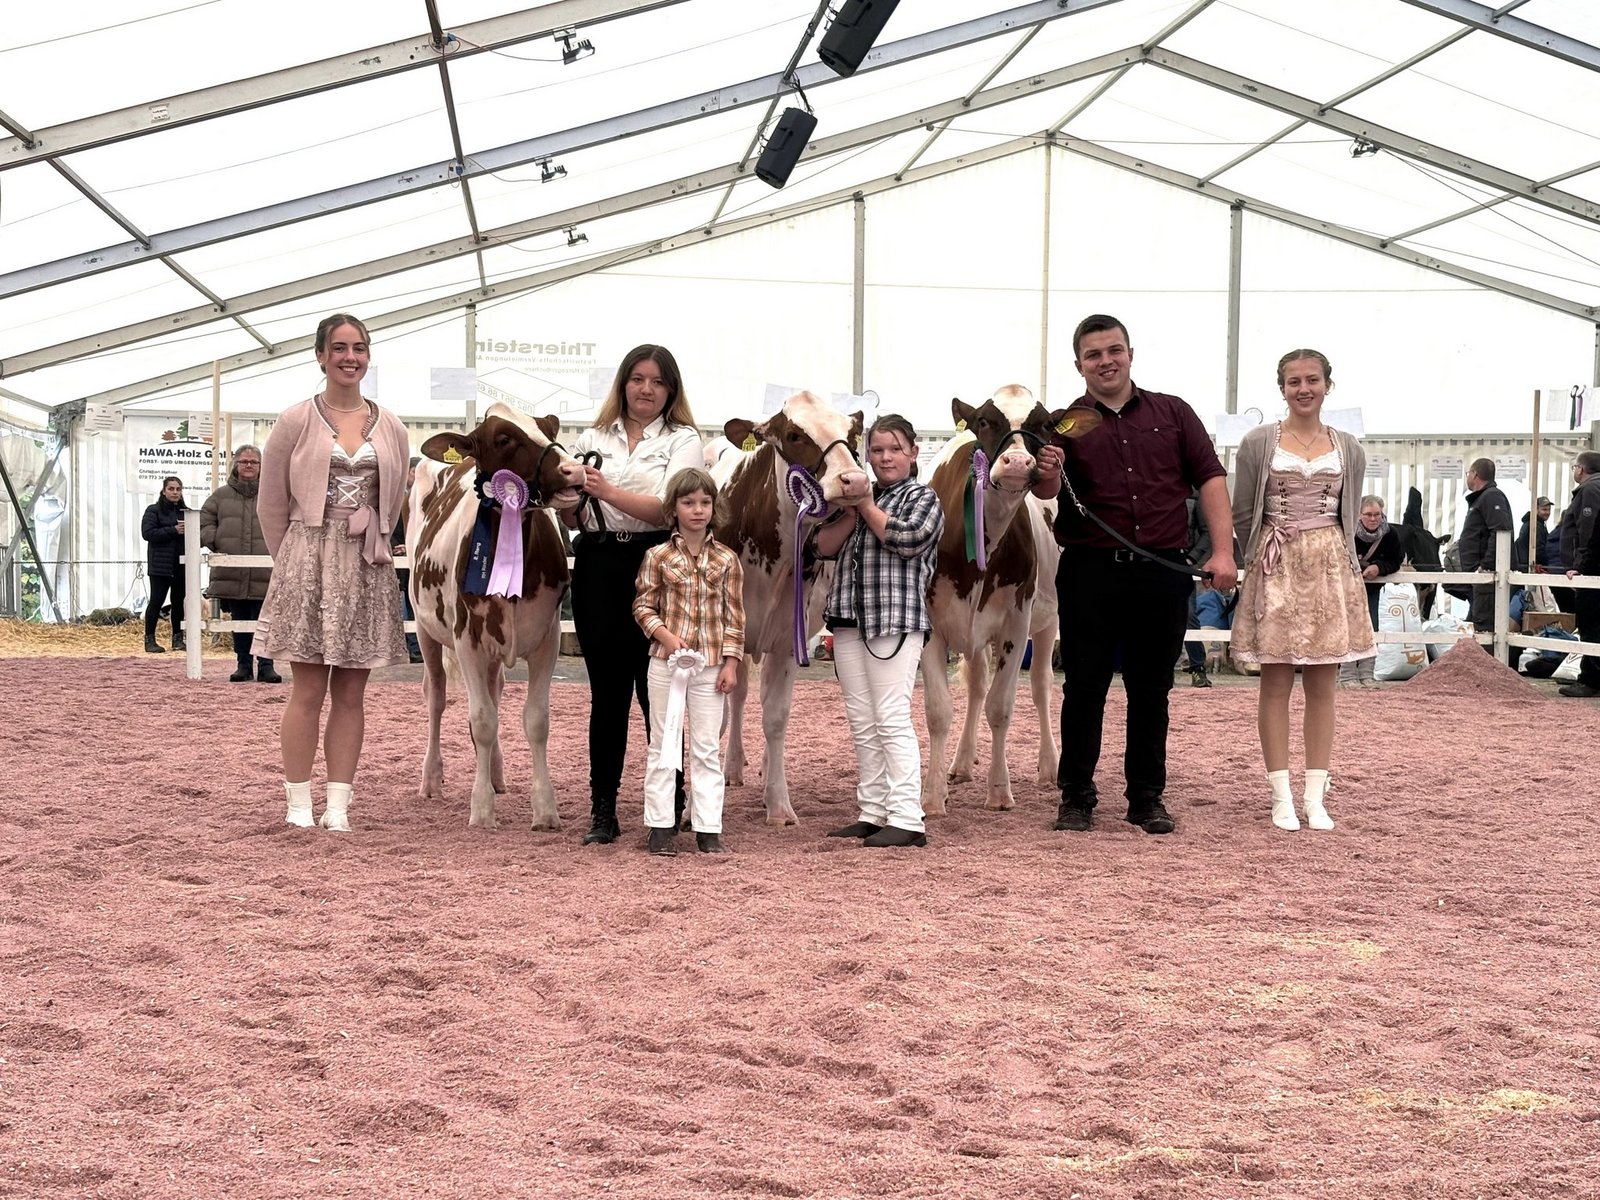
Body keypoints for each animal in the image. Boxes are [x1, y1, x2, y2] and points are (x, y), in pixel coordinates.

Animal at [409, 403, 587, 830]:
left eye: (547, 428)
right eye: (503, 438)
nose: (574, 470)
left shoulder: (547, 637)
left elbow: (535, 720)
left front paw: (545, 809)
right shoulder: (466, 640)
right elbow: (483, 720)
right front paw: (481, 809)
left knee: (494, 691)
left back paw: (496, 774)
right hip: (425, 628)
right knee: (436, 696)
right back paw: (432, 779)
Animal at [712, 392, 867, 826]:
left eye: (852, 433)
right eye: (796, 434)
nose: (855, 481)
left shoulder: (785, 640)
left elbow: (776, 717)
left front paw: (778, 804)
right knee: (739, 696)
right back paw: (732, 766)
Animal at [921, 388, 1098, 814]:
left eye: (1045, 424)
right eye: (985, 420)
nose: (1017, 462)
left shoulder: (1016, 622)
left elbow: (1000, 707)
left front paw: (999, 790)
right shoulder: (931, 624)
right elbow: (939, 711)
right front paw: (932, 795)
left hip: (1049, 621)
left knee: (1040, 686)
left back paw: (1051, 765)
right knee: (976, 685)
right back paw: (961, 763)